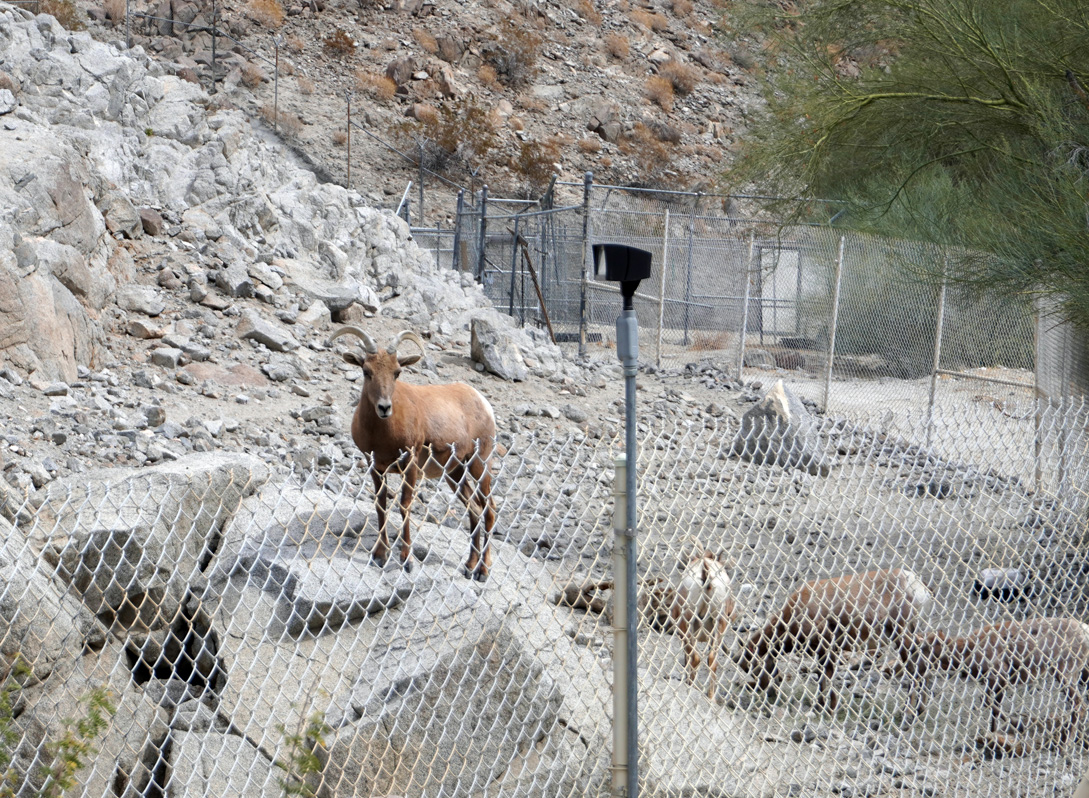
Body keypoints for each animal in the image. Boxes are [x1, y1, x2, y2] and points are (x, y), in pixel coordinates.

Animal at [327, 326, 498, 581]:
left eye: (397, 372)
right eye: (366, 371)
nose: (384, 407)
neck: (382, 433)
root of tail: (482, 402)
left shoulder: (410, 463)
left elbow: (404, 505)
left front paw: (407, 560)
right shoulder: (375, 466)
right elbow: (381, 505)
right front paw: (380, 555)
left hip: (479, 463)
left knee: (489, 510)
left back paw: (483, 571)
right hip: (455, 472)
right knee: (474, 509)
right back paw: (469, 566)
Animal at [671, 548, 736, 698]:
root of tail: (705, 574)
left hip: (688, 622)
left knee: (695, 658)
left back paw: (692, 687)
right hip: (720, 622)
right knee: (712, 660)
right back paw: (711, 697)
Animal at [734, 568, 933, 712]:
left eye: (752, 665)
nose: (765, 691)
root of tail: (915, 583)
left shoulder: (828, 646)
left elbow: (826, 676)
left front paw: (829, 709)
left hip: (903, 635)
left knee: (915, 669)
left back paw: (909, 713)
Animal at [903, 617, 1089, 748]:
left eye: (921, 649)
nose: (910, 668)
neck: (968, 653)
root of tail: (1084, 630)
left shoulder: (1000, 675)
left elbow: (990, 704)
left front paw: (1017, 726)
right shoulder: (994, 681)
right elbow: (992, 706)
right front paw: (993, 736)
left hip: (1066, 671)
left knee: (1079, 703)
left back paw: (1066, 743)